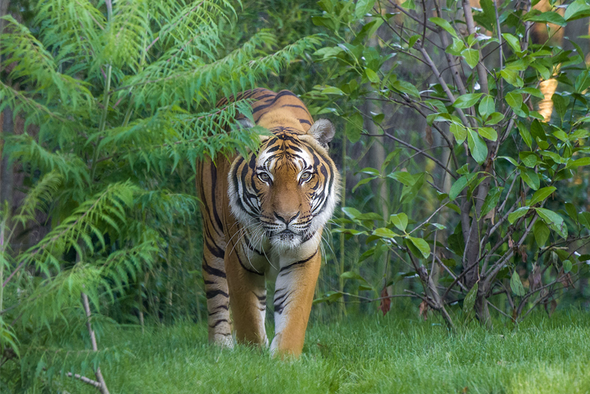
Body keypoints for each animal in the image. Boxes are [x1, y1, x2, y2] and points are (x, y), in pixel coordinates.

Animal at [197, 87, 340, 356]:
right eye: (265, 176)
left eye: (305, 176)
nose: (287, 217)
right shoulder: (238, 257)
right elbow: (248, 316)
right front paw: (253, 356)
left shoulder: (303, 258)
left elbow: (293, 316)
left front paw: (284, 359)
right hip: (213, 239)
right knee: (217, 295)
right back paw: (222, 347)